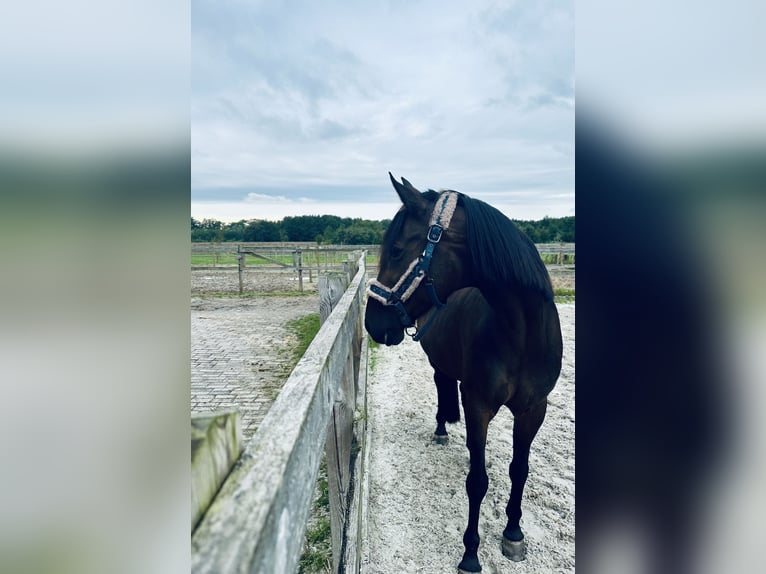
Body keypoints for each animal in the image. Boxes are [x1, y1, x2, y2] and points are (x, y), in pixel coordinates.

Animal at [366, 173, 564, 572]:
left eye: (396, 250)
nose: (371, 322)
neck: (522, 334)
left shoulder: (534, 409)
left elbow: (520, 470)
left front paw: (514, 533)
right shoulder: (478, 405)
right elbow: (477, 481)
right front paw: (470, 553)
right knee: (441, 385)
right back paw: (442, 429)